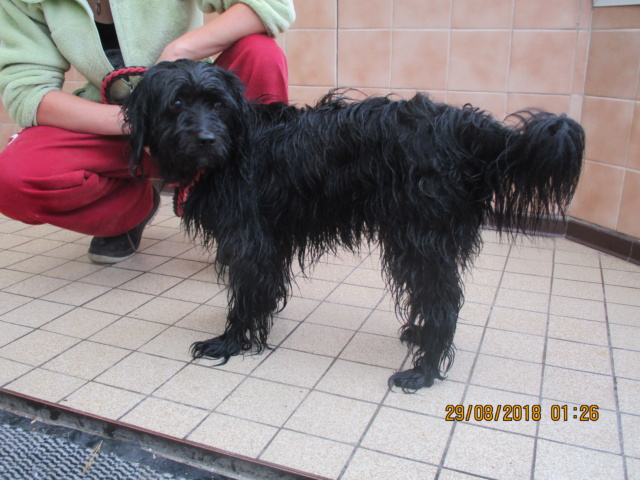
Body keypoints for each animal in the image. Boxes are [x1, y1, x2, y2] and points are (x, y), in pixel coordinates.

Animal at [121, 60, 584, 392]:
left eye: (217, 104)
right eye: (176, 104)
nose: (206, 140)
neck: (237, 147)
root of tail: (465, 125)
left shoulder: (252, 242)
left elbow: (246, 296)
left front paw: (231, 343)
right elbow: (260, 292)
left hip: (419, 239)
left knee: (444, 301)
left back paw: (424, 371)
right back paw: (422, 340)